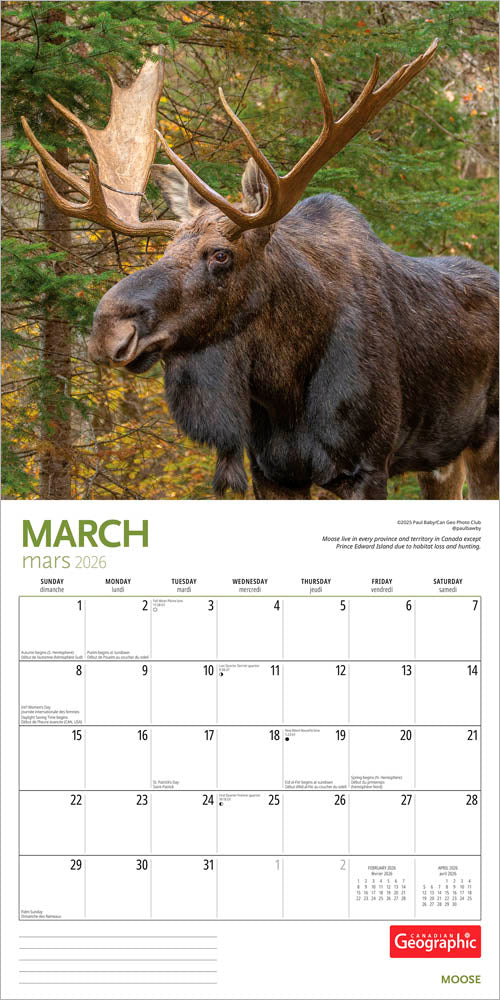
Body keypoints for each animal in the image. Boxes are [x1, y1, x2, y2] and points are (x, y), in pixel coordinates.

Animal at [22, 40, 499, 500]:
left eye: (220, 254)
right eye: (165, 248)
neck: (284, 387)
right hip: (439, 456)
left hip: (485, 443)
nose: (107, 329)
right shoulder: (272, 472)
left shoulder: (365, 467)